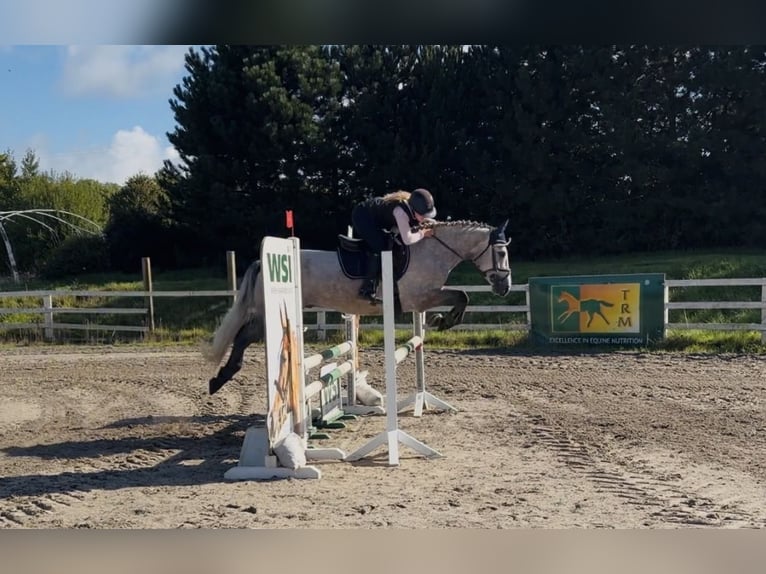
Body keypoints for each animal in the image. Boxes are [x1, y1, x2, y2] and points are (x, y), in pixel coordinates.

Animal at [202, 219, 512, 395]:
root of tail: (260, 261)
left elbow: (461, 296)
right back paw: (221, 378)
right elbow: (462, 296)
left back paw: (220, 378)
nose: (504, 287)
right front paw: (442, 321)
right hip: (271, 312)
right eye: (501, 253)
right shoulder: (420, 297)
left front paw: (439, 320)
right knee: (244, 336)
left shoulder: (423, 298)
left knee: (244, 336)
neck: (433, 251)